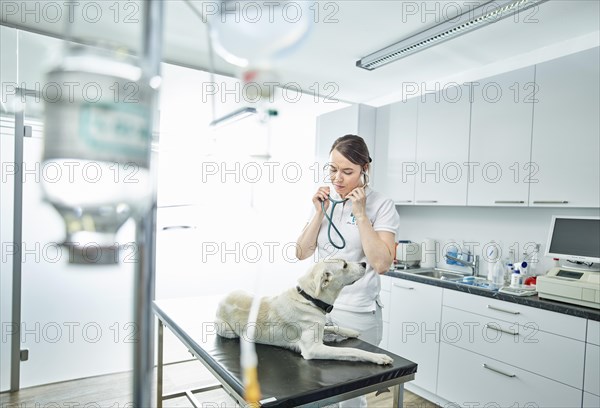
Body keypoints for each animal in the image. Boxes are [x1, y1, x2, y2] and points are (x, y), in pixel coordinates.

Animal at [214, 260, 394, 364]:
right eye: (344, 265)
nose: (364, 263)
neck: (309, 299)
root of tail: (222, 298)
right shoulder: (313, 349)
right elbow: (352, 351)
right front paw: (378, 357)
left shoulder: (319, 327)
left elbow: (331, 327)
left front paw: (351, 331)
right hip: (226, 330)